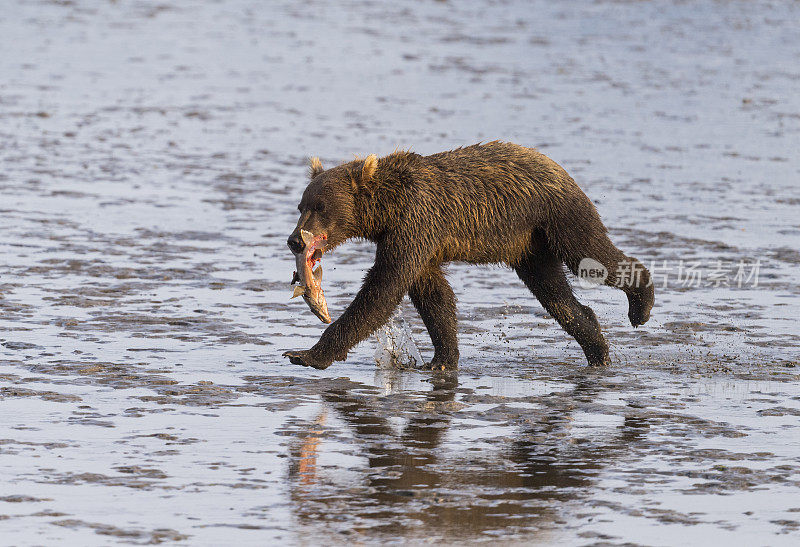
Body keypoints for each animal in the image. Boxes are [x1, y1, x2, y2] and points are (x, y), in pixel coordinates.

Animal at [284, 142, 652, 372]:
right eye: (301, 205)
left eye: (320, 207)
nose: (294, 241)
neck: (386, 211)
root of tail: (558, 167)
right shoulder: (417, 240)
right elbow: (434, 296)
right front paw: (442, 358)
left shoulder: (416, 223)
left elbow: (383, 288)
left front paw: (305, 354)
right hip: (531, 246)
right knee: (554, 291)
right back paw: (597, 348)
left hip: (557, 214)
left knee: (589, 255)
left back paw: (641, 304)